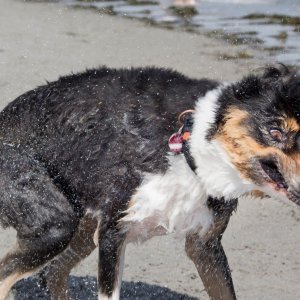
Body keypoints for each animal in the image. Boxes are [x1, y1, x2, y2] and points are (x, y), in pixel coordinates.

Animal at [0, 63, 298, 300]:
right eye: (275, 131)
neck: (189, 144)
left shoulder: (205, 246)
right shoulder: (113, 233)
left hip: (82, 228)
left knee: (52, 274)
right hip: (55, 224)